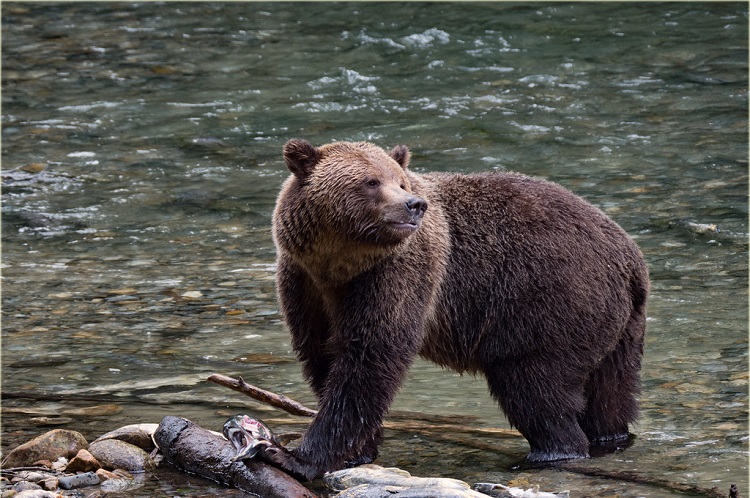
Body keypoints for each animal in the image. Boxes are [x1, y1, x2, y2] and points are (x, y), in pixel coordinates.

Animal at [262, 138, 648, 480]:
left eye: (399, 181)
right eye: (371, 181)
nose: (414, 204)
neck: (340, 264)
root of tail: (632, 258)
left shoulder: (398, 273)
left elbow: (370, 357)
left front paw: (292, 456)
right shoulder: (304, 281)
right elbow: (321, 354)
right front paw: (358, 451)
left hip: (548, 304)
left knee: (534, 387)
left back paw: (549, 452)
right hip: (617, 326)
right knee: (609, 395)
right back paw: (608, 438)